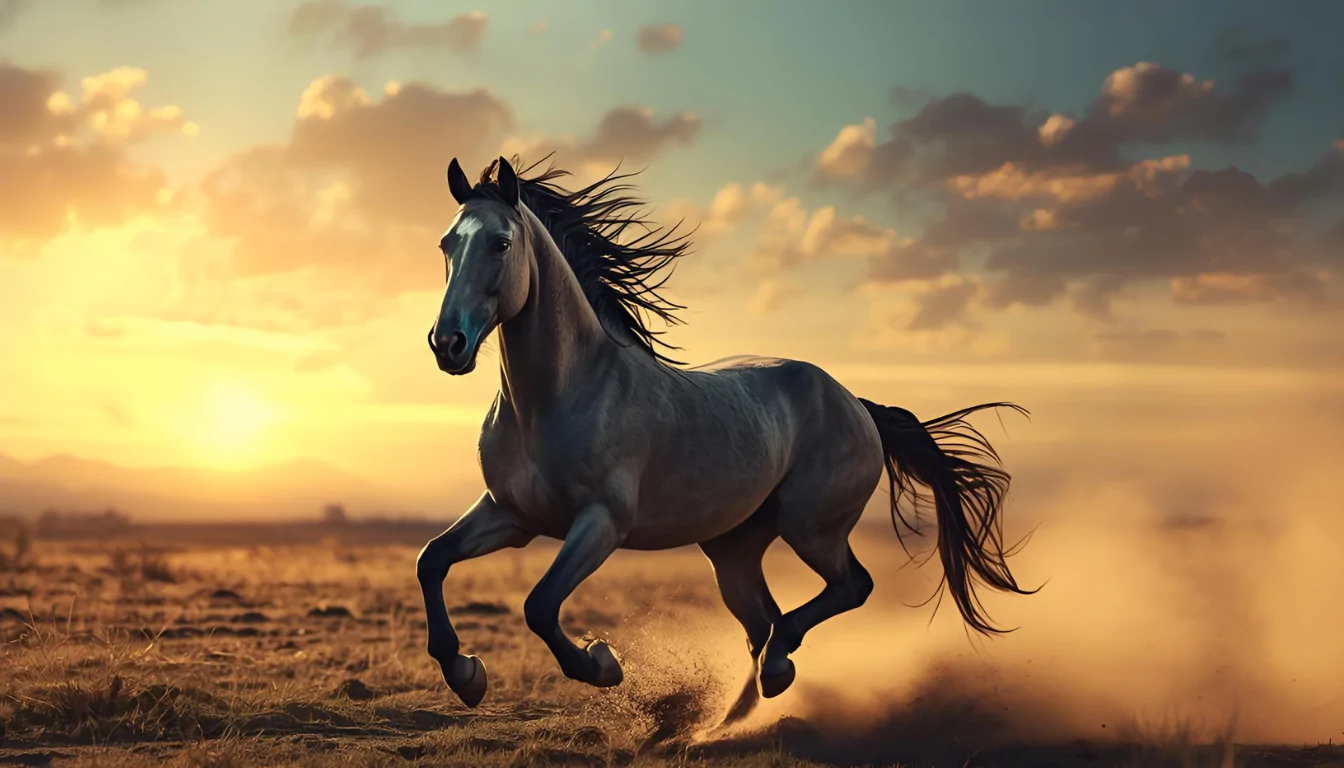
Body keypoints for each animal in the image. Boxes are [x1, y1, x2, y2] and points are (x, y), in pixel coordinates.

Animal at [417, 155, 1033, 724]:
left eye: (500, 243)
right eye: (447, 243)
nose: (447, 344)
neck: (563, 395)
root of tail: (856, 403)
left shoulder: (601, 523)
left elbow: (540, 605)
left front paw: (602, 662)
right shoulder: (511, 515)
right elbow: (432, 561)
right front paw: (467, 675)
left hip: (811, 529)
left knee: (844, 590)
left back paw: (773, 673)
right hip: (733, 550)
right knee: (763, 622)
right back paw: (722, 720)